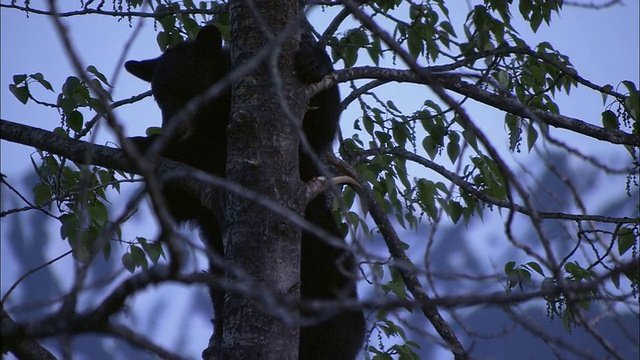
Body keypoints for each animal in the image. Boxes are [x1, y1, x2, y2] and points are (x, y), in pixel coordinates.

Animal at [125, 23, 364, 358]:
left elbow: (316, 128)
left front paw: (313, 60)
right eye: (159, 98)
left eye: (187, 89)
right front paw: (140, 144)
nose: (176, 129)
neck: (211, 127)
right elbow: (179, 203)